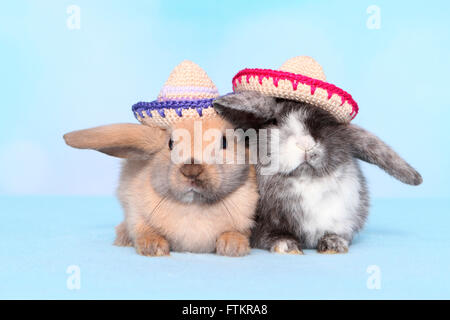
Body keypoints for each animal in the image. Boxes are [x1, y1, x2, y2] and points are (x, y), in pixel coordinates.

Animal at [213, 91, 424, 254]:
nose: (306, 144)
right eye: (274, 121)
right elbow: (273, 236)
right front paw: (287, 246)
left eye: (326, 123)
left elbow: (336, 233)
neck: (306, 180)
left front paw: (334, 245)